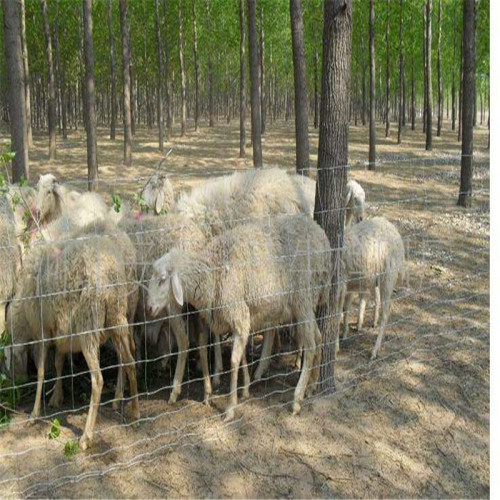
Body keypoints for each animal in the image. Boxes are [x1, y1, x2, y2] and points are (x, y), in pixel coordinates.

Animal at [5, 222, 140, 450]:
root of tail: (110, 275)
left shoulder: (42, 333)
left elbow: (41, 372)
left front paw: (34, 413)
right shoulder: (60, 334)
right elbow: (59, 363)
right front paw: (57, 396)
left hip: (89, 325)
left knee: (98, 379)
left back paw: (86, 437)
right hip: (118, 318)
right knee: (129, 360)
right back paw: (135, 411)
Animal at [146, 213, 332, 420]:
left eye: (162, 280)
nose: (149, 307)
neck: (213, 272)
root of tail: (321, 236)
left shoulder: (239, 314)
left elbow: (233, 361)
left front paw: (230, 407)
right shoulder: (226, 320)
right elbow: (222, 353)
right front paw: (230, 391)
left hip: (303, 298)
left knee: (311, 345)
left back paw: (297, 398)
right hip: (307, 302)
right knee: (318, 337)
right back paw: (312, 385)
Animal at [338, 215, 408, 360]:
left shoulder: (340, 284)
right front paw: (345, 333)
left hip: (388, 278)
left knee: (386, 313)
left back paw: (375, 350)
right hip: (373, 278)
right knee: (375, 298)